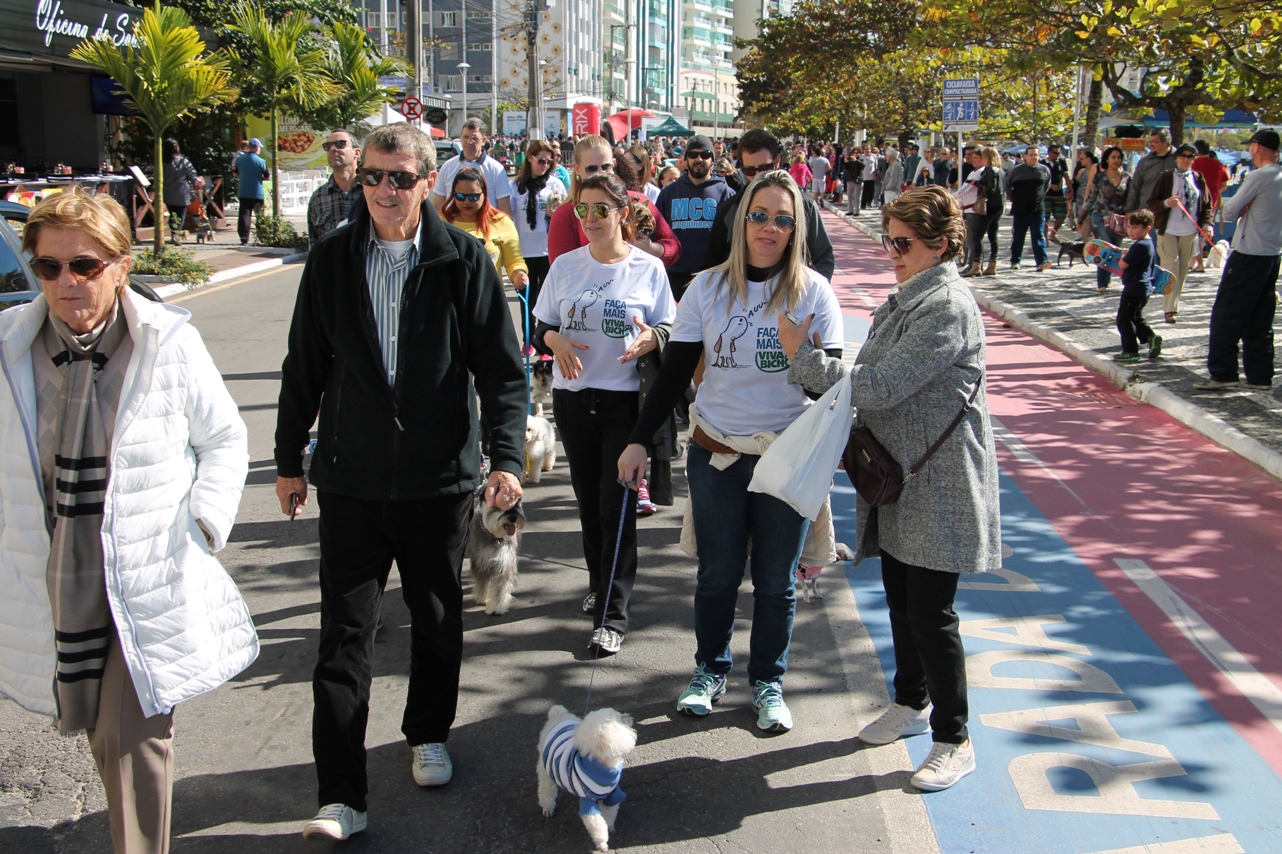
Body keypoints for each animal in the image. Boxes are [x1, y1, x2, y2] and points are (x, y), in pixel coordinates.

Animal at [538, 702, 638, 846]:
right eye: (619, 718)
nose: (630, 717)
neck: (601, 767)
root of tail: (558, 715)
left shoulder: (612, 794)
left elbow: (610, 811)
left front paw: (610, 826)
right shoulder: (588, 801)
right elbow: (596, 823)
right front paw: (602, 843)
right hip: (545, 769)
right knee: (546, 790)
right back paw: (548, 808)